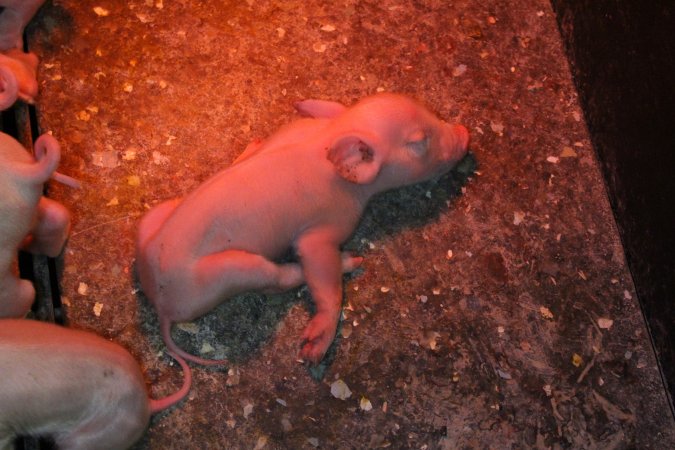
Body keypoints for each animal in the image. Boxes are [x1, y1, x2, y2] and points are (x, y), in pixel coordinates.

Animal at [136, 93, 469, 366]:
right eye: (420, 141)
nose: (465, 133)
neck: (329, 139)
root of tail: (160, 303)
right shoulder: (326, 226)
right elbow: (319, 269)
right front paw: (312, 351)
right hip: (225, 273)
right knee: (278, 279)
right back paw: (351, 262)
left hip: (153, 220)